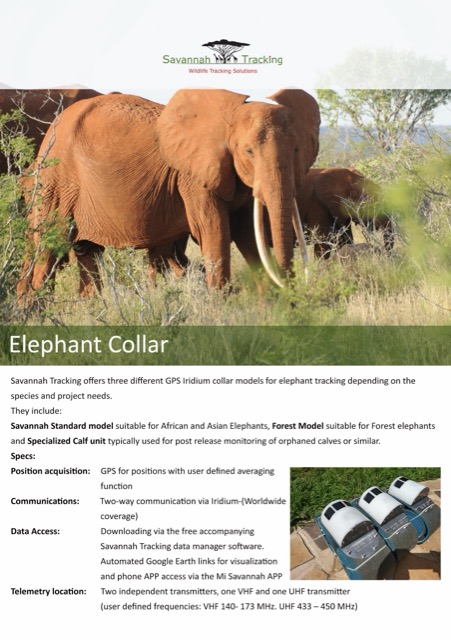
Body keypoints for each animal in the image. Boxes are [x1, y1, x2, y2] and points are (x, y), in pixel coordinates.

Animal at [17, 88, 320, 300]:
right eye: (248, 151)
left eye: (296, 150)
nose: (294, 295)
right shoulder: (193, 177)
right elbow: (214, 229)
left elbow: (246, 232)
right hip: (55, 185)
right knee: (46, 253)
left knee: (86, 254)